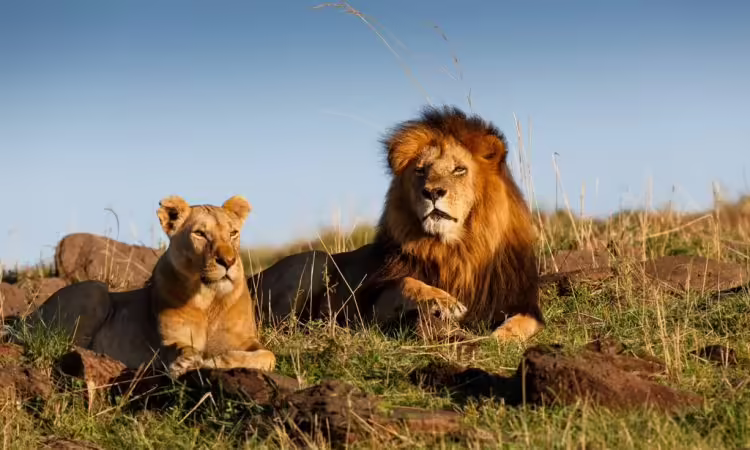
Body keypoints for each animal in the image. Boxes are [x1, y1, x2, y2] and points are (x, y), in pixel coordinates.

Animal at [29, 195, 275, 376]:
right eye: (200, 234)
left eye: (233, 233)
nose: (229, 261)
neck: (209, 299)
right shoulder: (168, 341)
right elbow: (179, 348)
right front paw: (186, 362)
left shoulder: (246, 341)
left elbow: (268, 356)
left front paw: (215, 360)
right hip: (94, 290)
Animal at [250, 105, 544, 341]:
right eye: (421, 170)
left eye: (459, 169)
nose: (432, 192)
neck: (457, 250)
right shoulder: (371, 307)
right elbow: (407, 282)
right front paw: (445, 302)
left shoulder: (520, 301)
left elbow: (525, 322)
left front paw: (500, 337)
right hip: (314, 260)